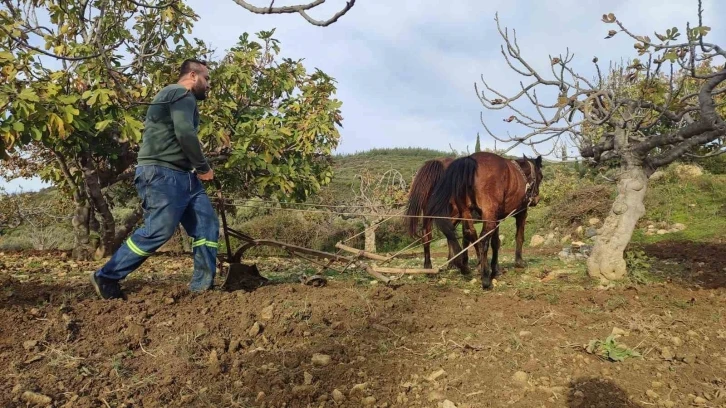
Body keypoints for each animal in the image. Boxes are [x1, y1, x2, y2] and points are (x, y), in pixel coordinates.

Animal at [430, 152, 544, 290]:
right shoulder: (521, 213)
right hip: (485, 216)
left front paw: (496, 269)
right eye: (541, 176)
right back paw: (484, 277)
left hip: (465, 213)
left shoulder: (497, 218)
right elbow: (519, 237)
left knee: (466, 234)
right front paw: (519, 262)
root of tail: (470, 161)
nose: (536, 199)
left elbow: (495, 242)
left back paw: (463, 266)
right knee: (482, 240)